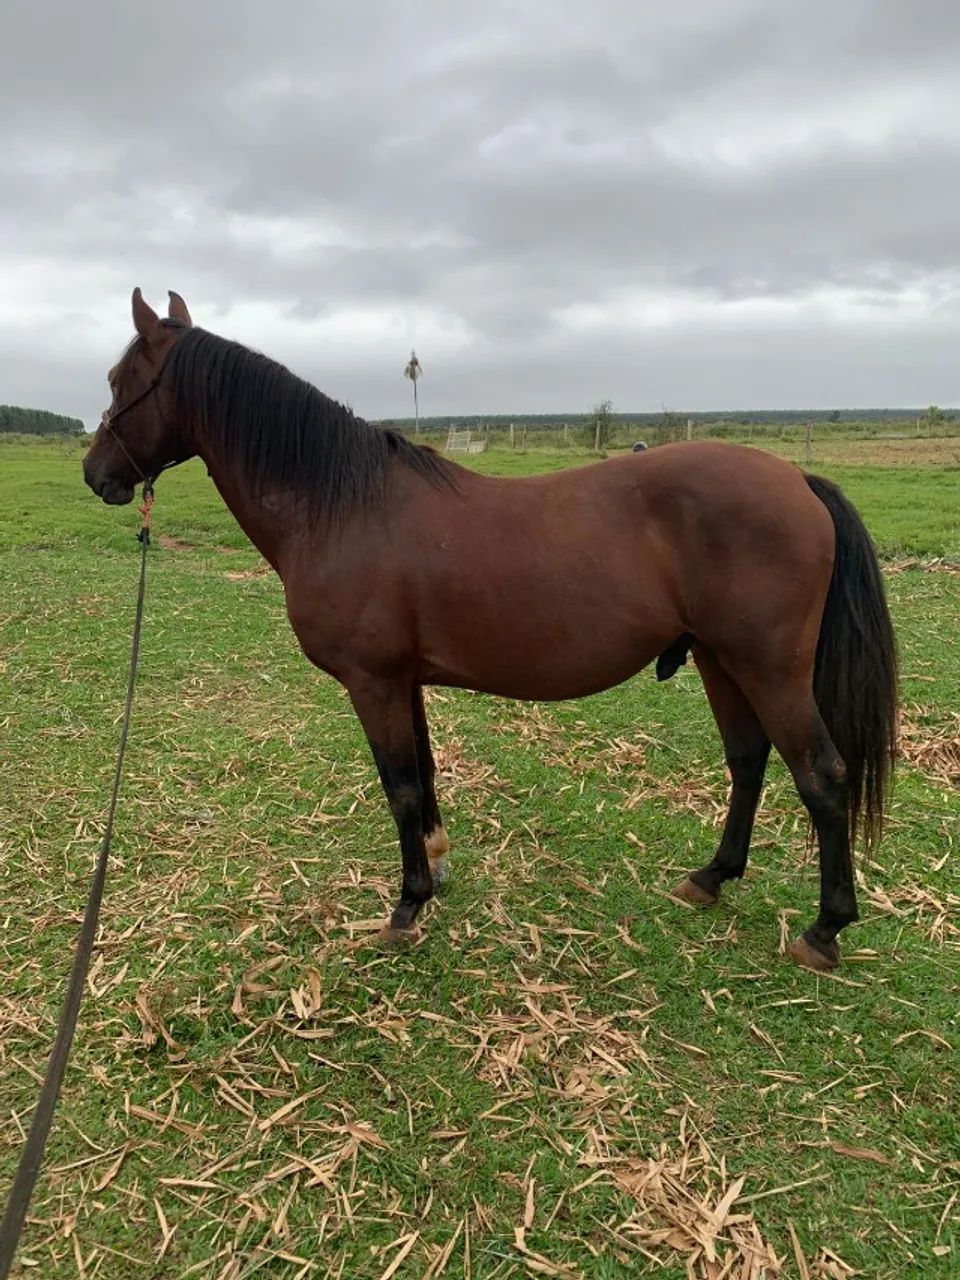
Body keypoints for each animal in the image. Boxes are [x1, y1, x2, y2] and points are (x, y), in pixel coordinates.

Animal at [83, 289, 898, 971]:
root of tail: (798, 482)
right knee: (750, 761)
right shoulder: (403, 680)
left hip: (767, 666)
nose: (97, 476)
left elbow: (399, 786)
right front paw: (436, 866)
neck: (342, 507)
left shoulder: (373, 682)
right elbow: (423, 777)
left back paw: (824, 929)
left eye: (122, 382)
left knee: (821, 776)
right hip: (720, 660)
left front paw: (407, 907)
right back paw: (711, 877)